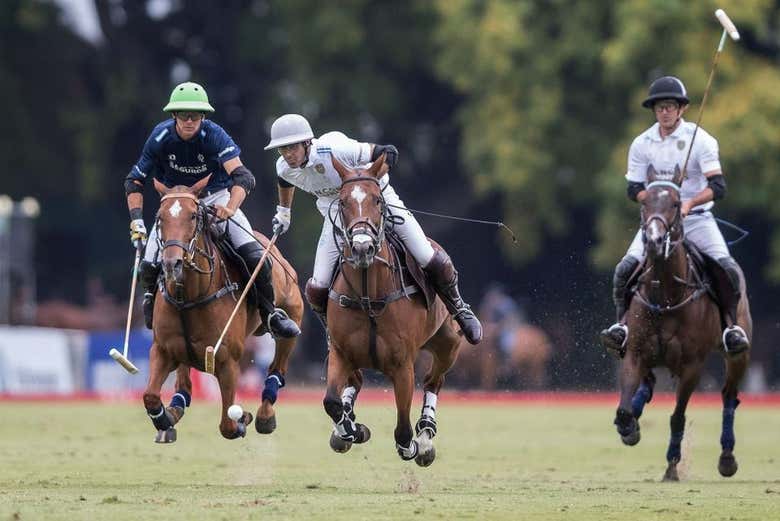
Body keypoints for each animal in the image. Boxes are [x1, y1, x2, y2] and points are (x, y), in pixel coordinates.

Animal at [142, 177, 304, 440]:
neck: (190, 297)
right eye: (160, 217)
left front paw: (243, 418)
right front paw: (165, 420)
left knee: (277, 366)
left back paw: (265, 415)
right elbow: (150, 396)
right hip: (182, 352)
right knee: (183, 385)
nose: (172, 263)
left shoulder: (228, 361)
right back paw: (175, 409)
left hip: (293, 315)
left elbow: (228, 424)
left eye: (192, 216)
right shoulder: (162, 350)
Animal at [322, 153, 466, 464]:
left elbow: (402, 430)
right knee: (355, 382)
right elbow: (331, 402)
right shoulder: (340, 353)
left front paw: (413, 446)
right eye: (342, 202)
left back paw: (425, 437)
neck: (368, 297)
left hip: (448, 343)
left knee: (434, 380)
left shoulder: (402, 367)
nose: (362, 248)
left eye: (377, 200)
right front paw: (351, 430)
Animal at [612, 166, 752, 480]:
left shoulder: (692, 365)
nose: (653, 240)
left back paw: (727, 459)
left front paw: (672, 466)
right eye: (644, 202)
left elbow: (677, 416)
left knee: (729, 397)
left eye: (676, 204)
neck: (665, 293)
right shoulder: (635, 352)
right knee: (648, 384)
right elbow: (625, 410)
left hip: (738, 354)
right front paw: (630, 428)